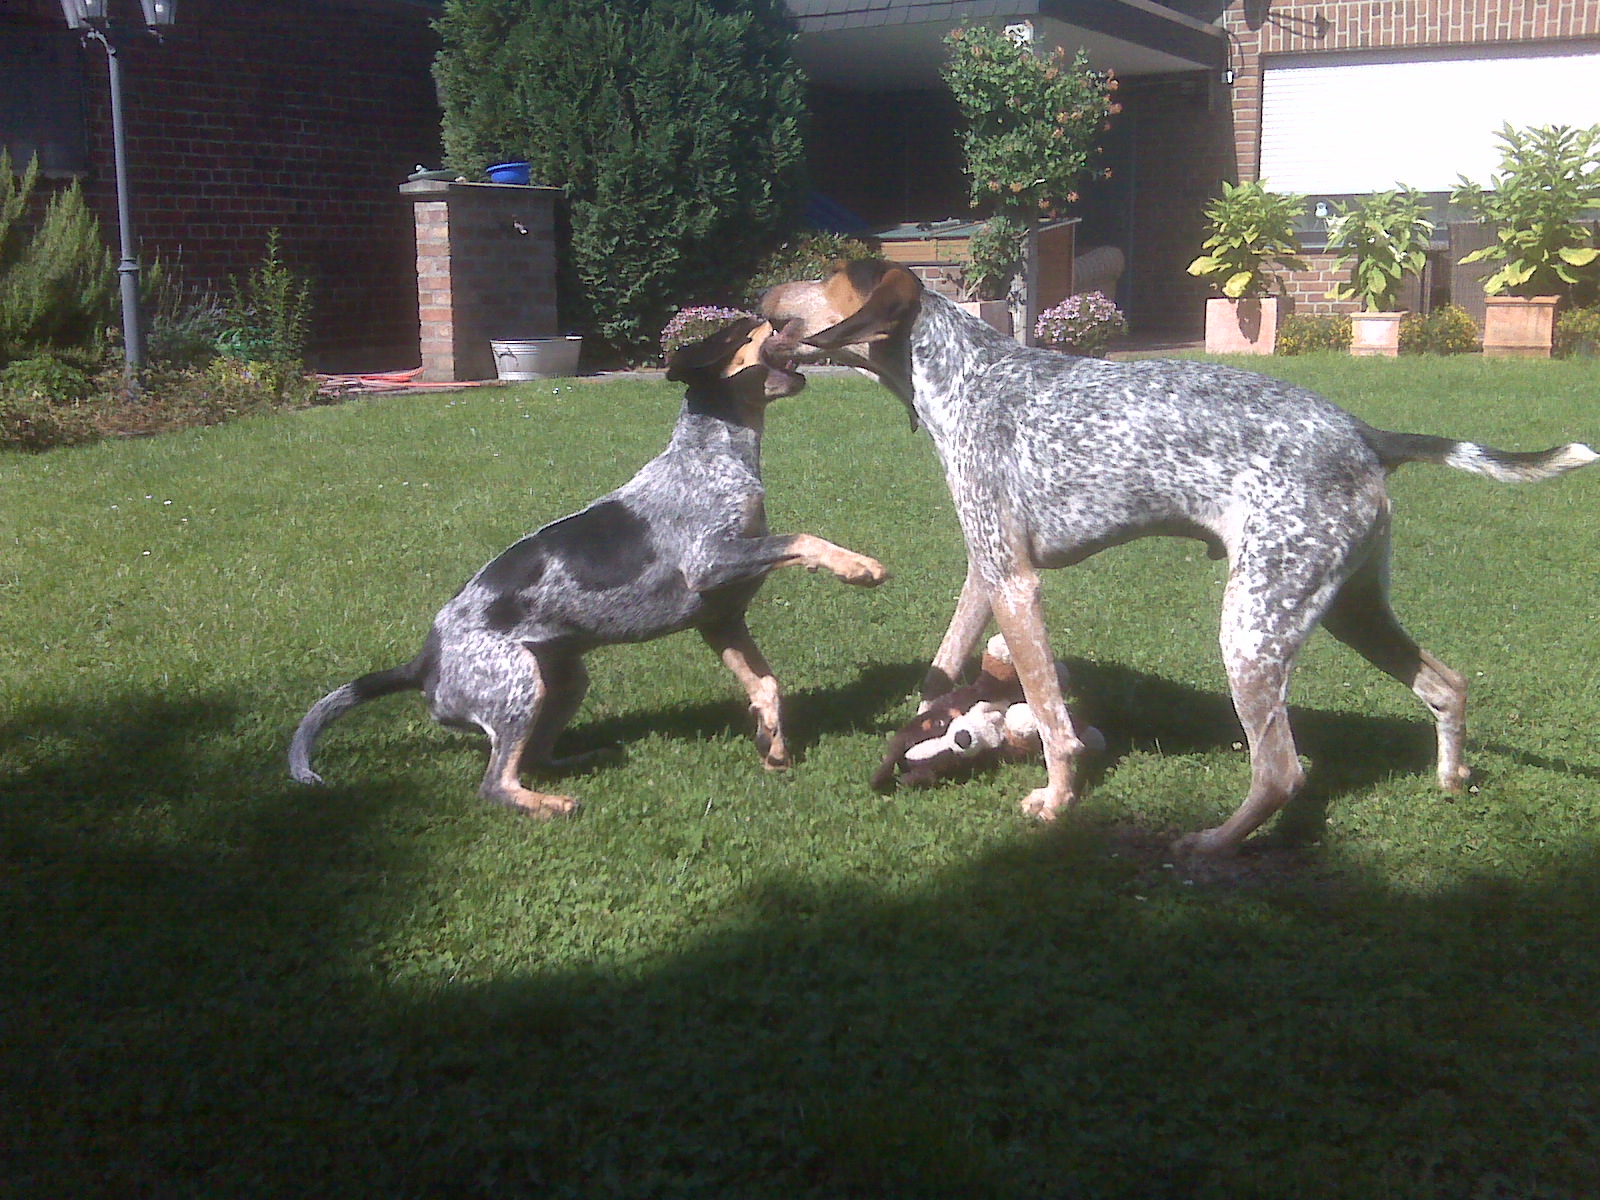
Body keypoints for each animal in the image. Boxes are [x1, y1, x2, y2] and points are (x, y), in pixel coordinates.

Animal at [288, 316, 889, 819]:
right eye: (753, 325)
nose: (794, 319)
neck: (712, 453)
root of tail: (423, 662)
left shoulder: (721, 619)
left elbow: (767, 686)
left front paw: (774, 748)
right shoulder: (710, 562)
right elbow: (802, 538)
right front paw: (860, 567)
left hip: (564, 681)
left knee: (533, 756)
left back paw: (583, 760)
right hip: (518, 686)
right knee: (495, 783)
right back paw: (551, 804)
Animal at [764, 260, 1600, 857]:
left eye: (828, 269)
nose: (762, 287)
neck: (968, 376)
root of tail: (1365, 434)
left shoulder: (1018, 584)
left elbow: (1052, 720)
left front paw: (1056, 800)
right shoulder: (987, 574)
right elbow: (943, 667)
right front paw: (921, 725)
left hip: (1253, 630)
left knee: (1282, 771)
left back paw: (1210, 843)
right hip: (1349, 609)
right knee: (1447, 687)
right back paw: (1451, 778)